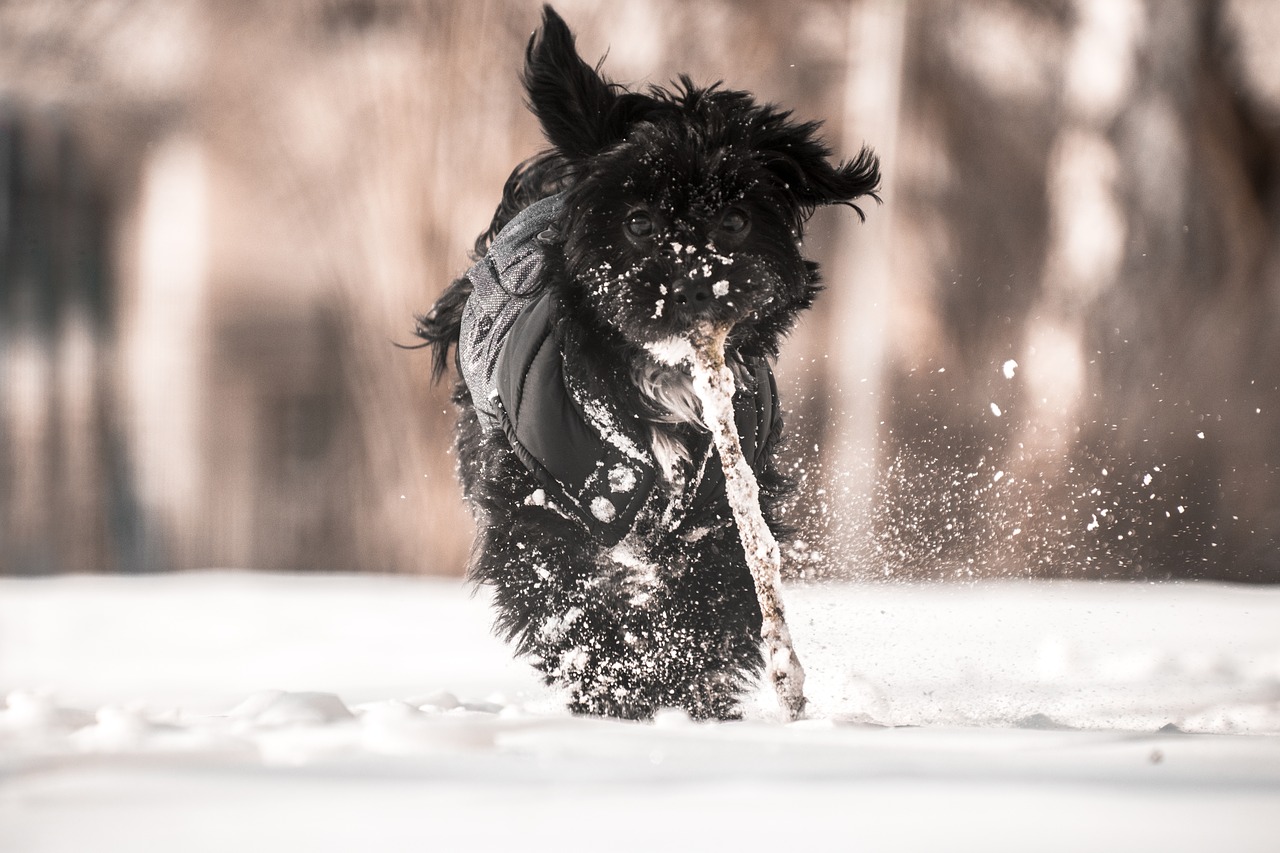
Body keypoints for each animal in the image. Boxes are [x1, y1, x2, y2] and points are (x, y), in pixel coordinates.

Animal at [419, 6, 880, 717]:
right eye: (637, 223)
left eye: (735, 221)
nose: (693, 286)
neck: (661, 381)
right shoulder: (542, 505)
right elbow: (569, 601)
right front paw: (619, 690)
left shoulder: (722, 511)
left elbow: (712, 602)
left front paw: (682, 689)